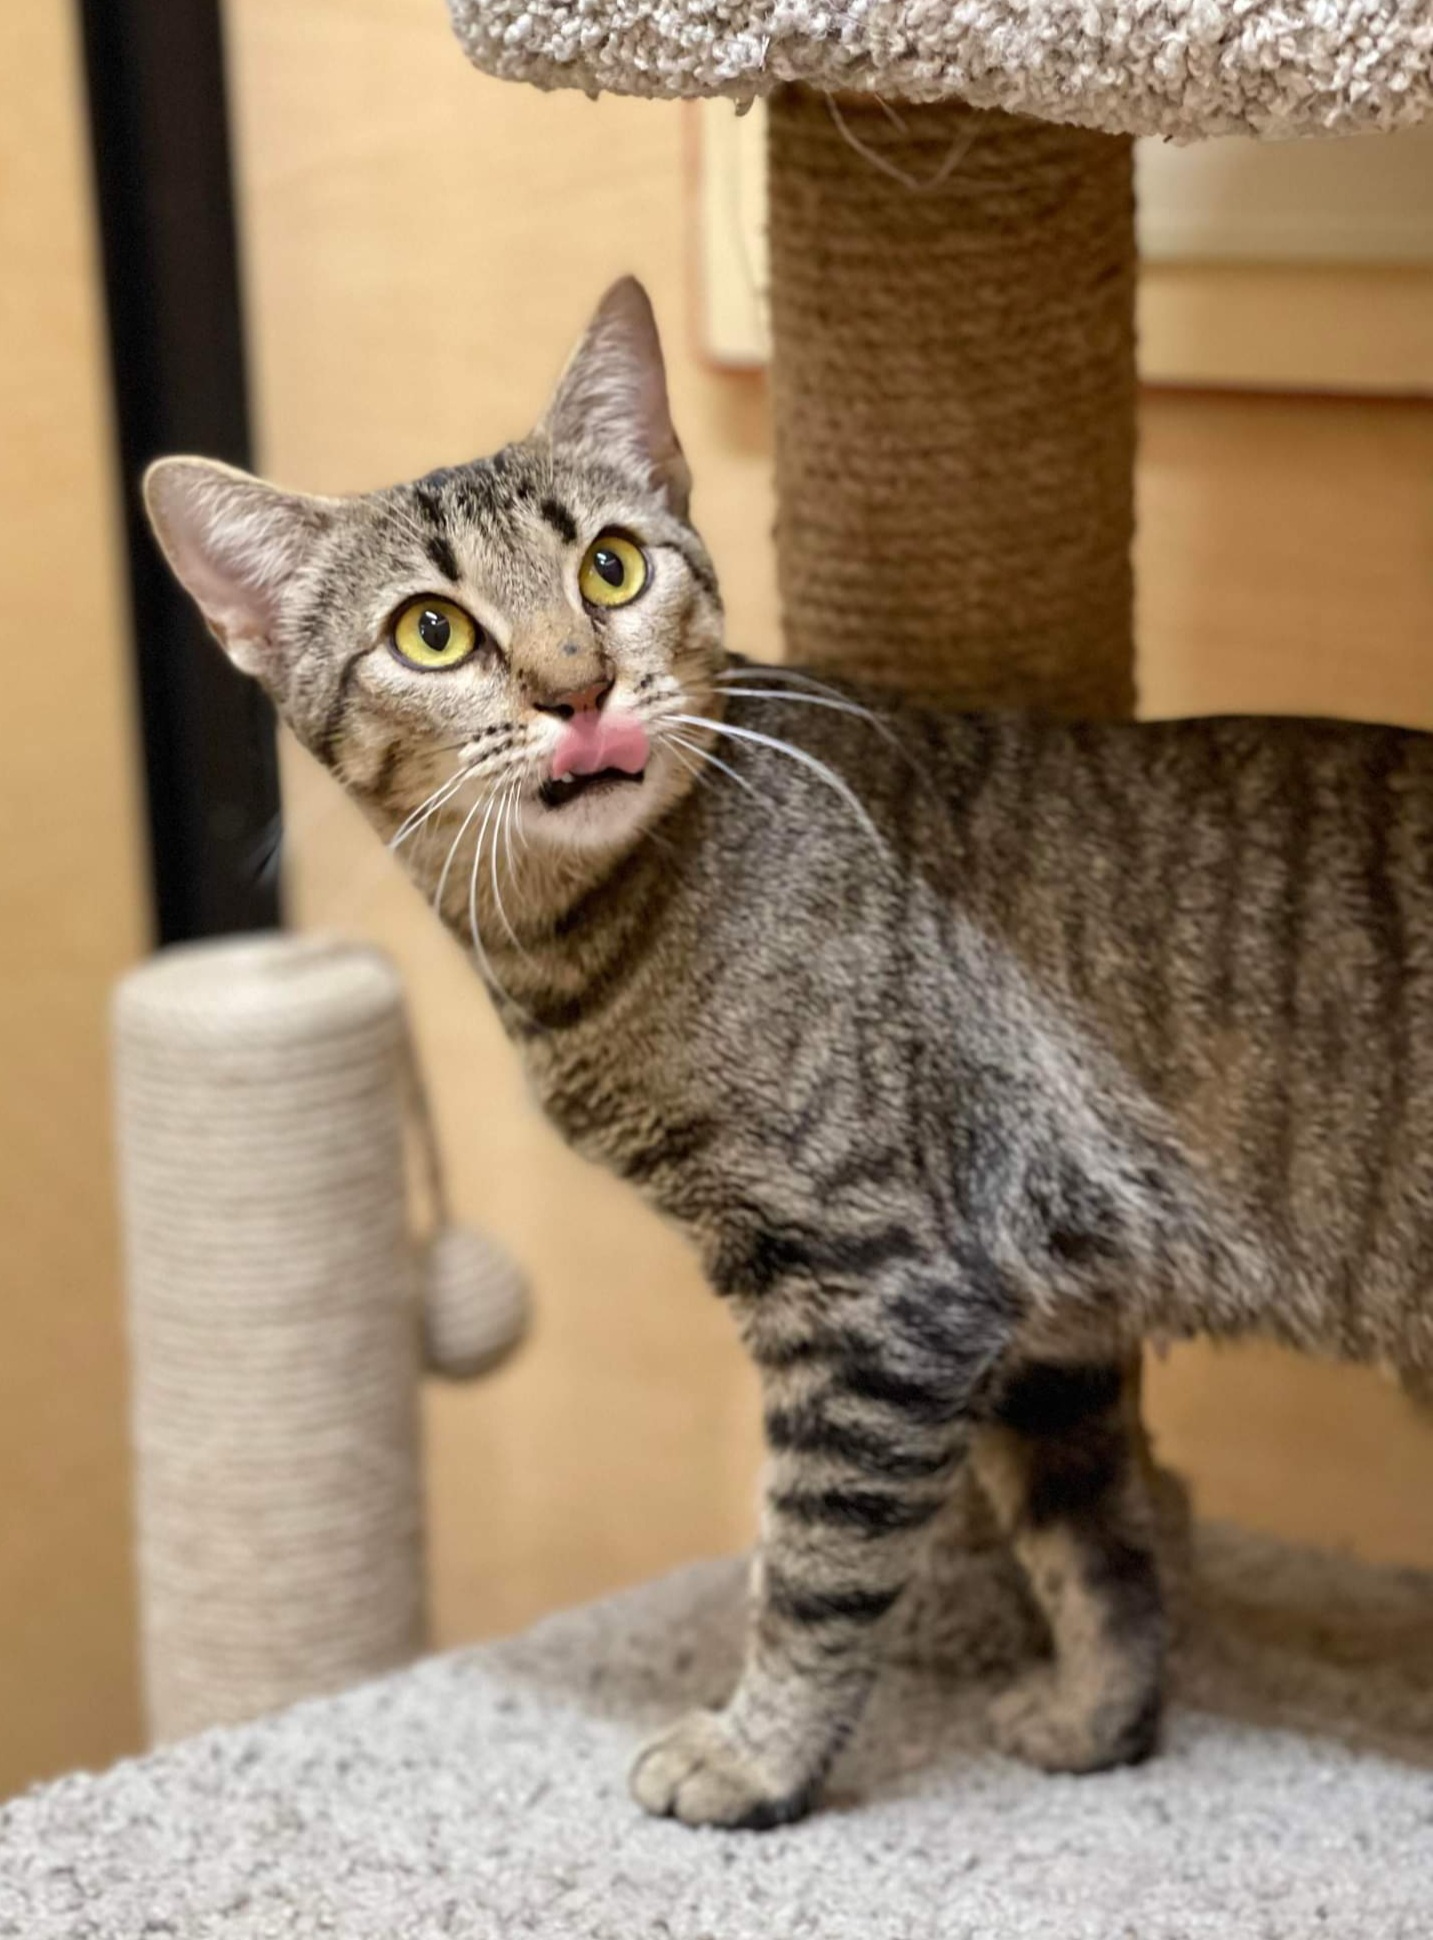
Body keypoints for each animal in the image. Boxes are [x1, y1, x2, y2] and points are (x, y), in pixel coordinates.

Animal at [148, 281, 1433, 1823]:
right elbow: (1093, 1553)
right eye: (433, 633)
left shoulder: (881, 1288)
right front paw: (1099, 1720)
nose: (578, 686)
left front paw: (757, 1754)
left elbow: (814, 1565)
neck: (583, 947)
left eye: (611, 569)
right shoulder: (1047, 1322)